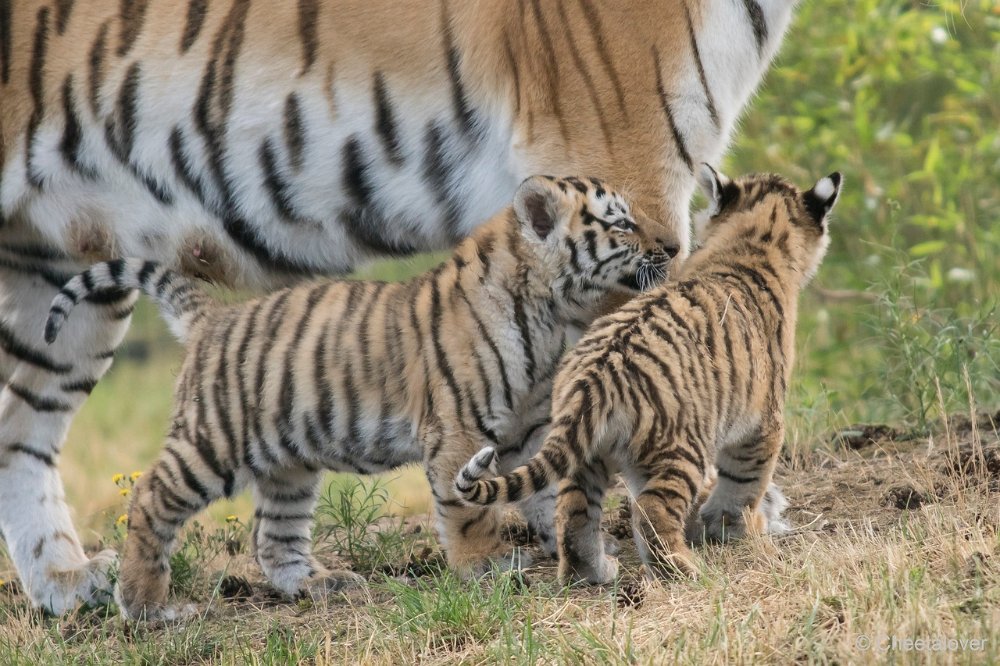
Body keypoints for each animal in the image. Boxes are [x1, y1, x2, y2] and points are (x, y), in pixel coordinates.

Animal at [0, 0, 796, 612]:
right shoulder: (614, 138)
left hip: (67, 279)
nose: (662, 242)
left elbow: (554, 455)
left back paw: (81, 584)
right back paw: (142, 600)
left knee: (26, 428)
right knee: (151, 495)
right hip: (203, 428)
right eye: (620, 222)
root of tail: (210, 318)